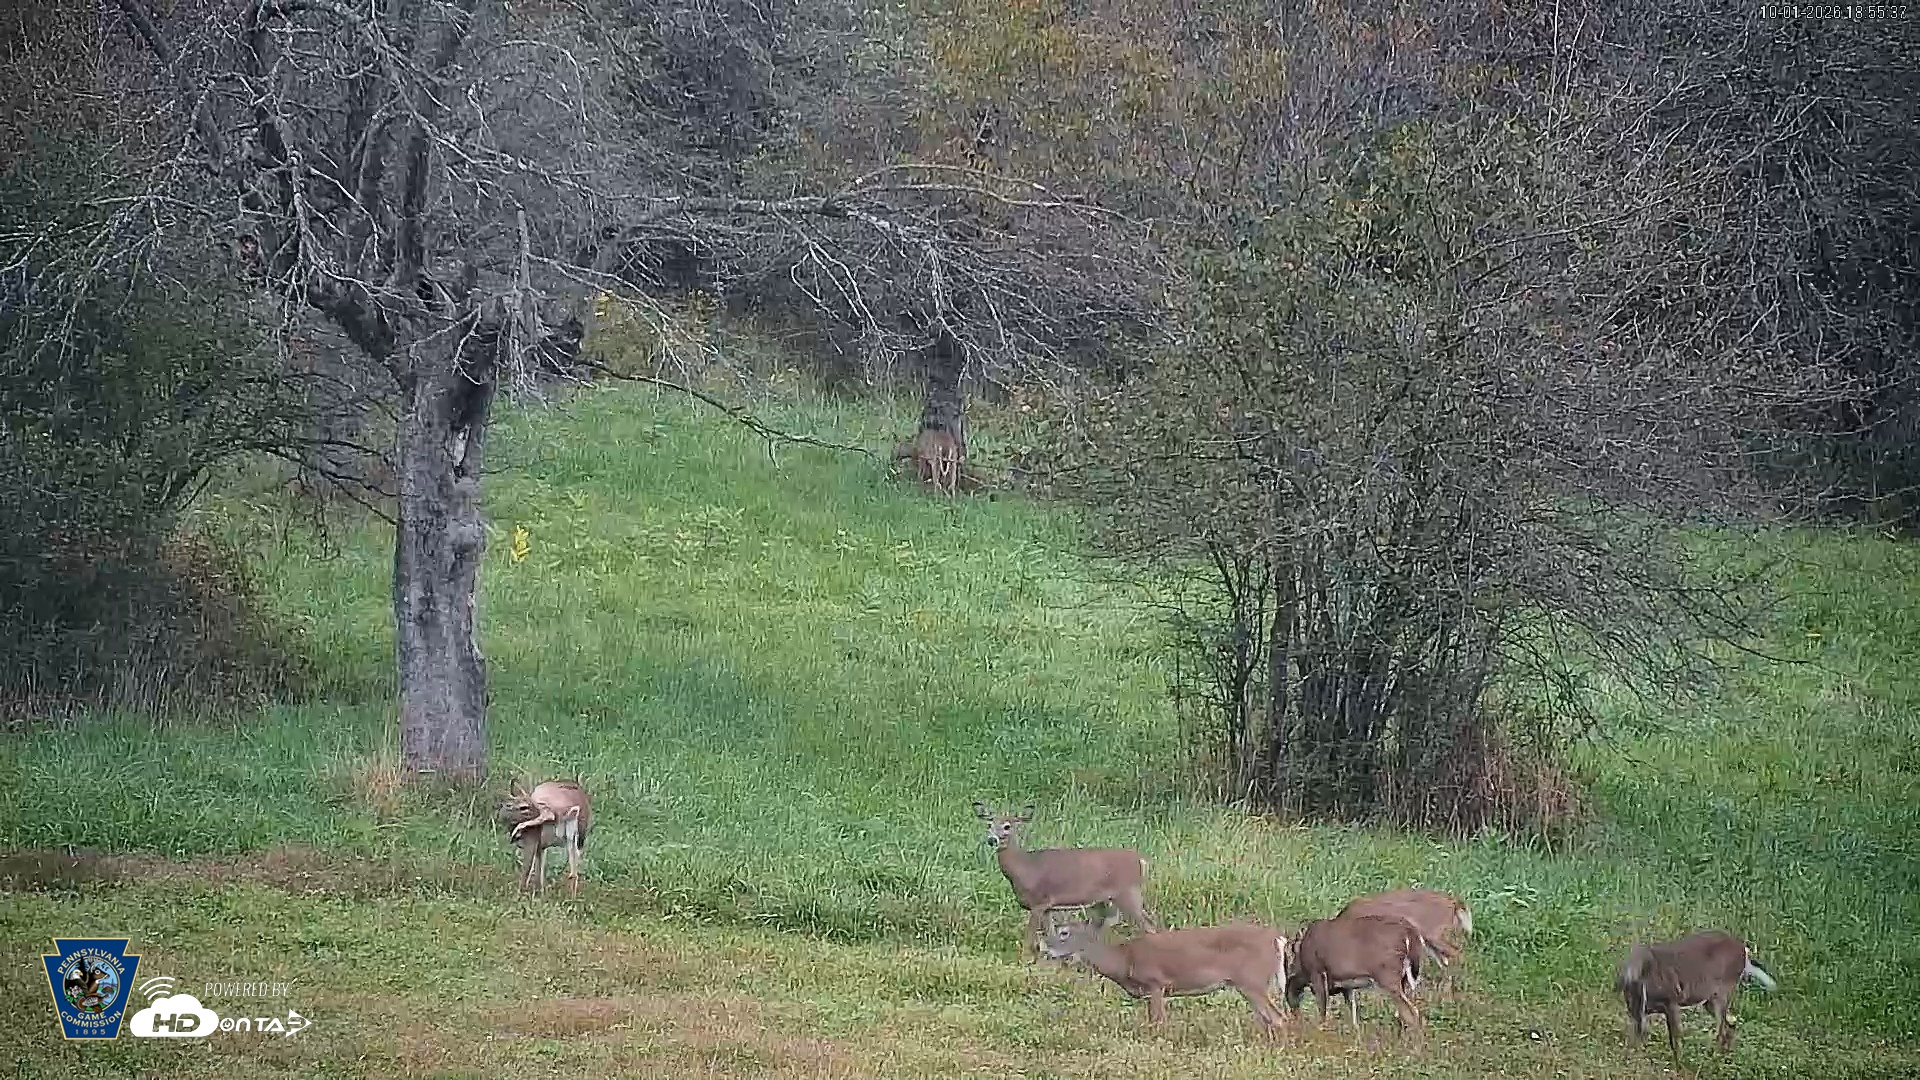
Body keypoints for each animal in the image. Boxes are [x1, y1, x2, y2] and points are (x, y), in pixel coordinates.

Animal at [971, 802, 1157, 959]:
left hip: (1128, 891)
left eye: (1007, 826)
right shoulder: (1048, 907)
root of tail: (1141, 860)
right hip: (1104, 900)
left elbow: (1029, 937)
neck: (1025, 868)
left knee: (1149, 925)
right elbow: (1050, 934)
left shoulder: (1038, 902)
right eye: (989, 824)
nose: (992, 840)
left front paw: (1024, 960)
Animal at [1041, 916, 1291, 1032]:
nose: (1044, 947)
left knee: (1279, 1018)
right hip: (1250, 984)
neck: (1124, 960)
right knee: (1268, 1018)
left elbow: (1158, 1021)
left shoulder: (1156, 982)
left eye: (1064, 932)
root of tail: (1276, 938)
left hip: (1252, 980)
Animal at [1284, 914, 1427, 1040]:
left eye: (1288, 999)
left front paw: (1321, 1035)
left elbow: (1322, 1010)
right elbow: (1353, 1012)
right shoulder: (1347, 985)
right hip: (1405, 978)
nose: (1295, 1020)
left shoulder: (1317, 972)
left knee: (1411, 1012)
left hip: (1387, 975)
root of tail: (1410, 933)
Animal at [1616, 930, 1777, 1063]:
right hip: (1710, 999)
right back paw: (1724, 1055)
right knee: (1731, 1023)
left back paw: (1713, 1056)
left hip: (1723, 991)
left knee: (1722, 1027)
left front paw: (1678, 1064)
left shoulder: (1671, 1002)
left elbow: (1675, 1037)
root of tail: (1745, 950)